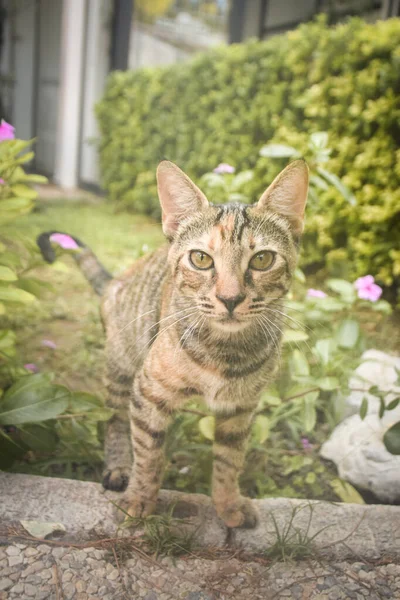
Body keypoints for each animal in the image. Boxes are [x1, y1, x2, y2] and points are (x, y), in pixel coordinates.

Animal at [37, 159, 308, 528]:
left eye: (263, 260)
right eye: (201, 259)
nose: (230, 298)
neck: (224, 351)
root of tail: (115, 281)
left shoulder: (241, 407)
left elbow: (229, 460)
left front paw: (228, 502)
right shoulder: (148, 391)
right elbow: (148, 454)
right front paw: (139, 499)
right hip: (122, 368)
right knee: (115, 420)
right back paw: (118, 465)